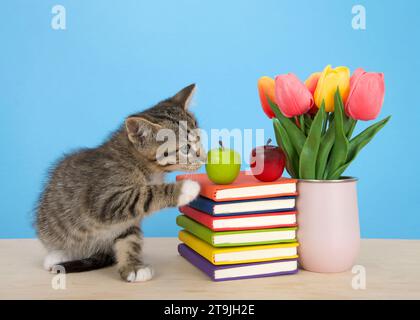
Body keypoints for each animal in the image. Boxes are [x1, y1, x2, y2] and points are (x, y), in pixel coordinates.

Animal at [35, 84, 206, 282]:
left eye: (199, 138)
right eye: (185, 148)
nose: (204, 157)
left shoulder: (127, 221)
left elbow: (129, 239)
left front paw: (133, 267)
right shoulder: (105, 199)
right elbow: (146, 194)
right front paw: (187, 188)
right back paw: (58, 256)